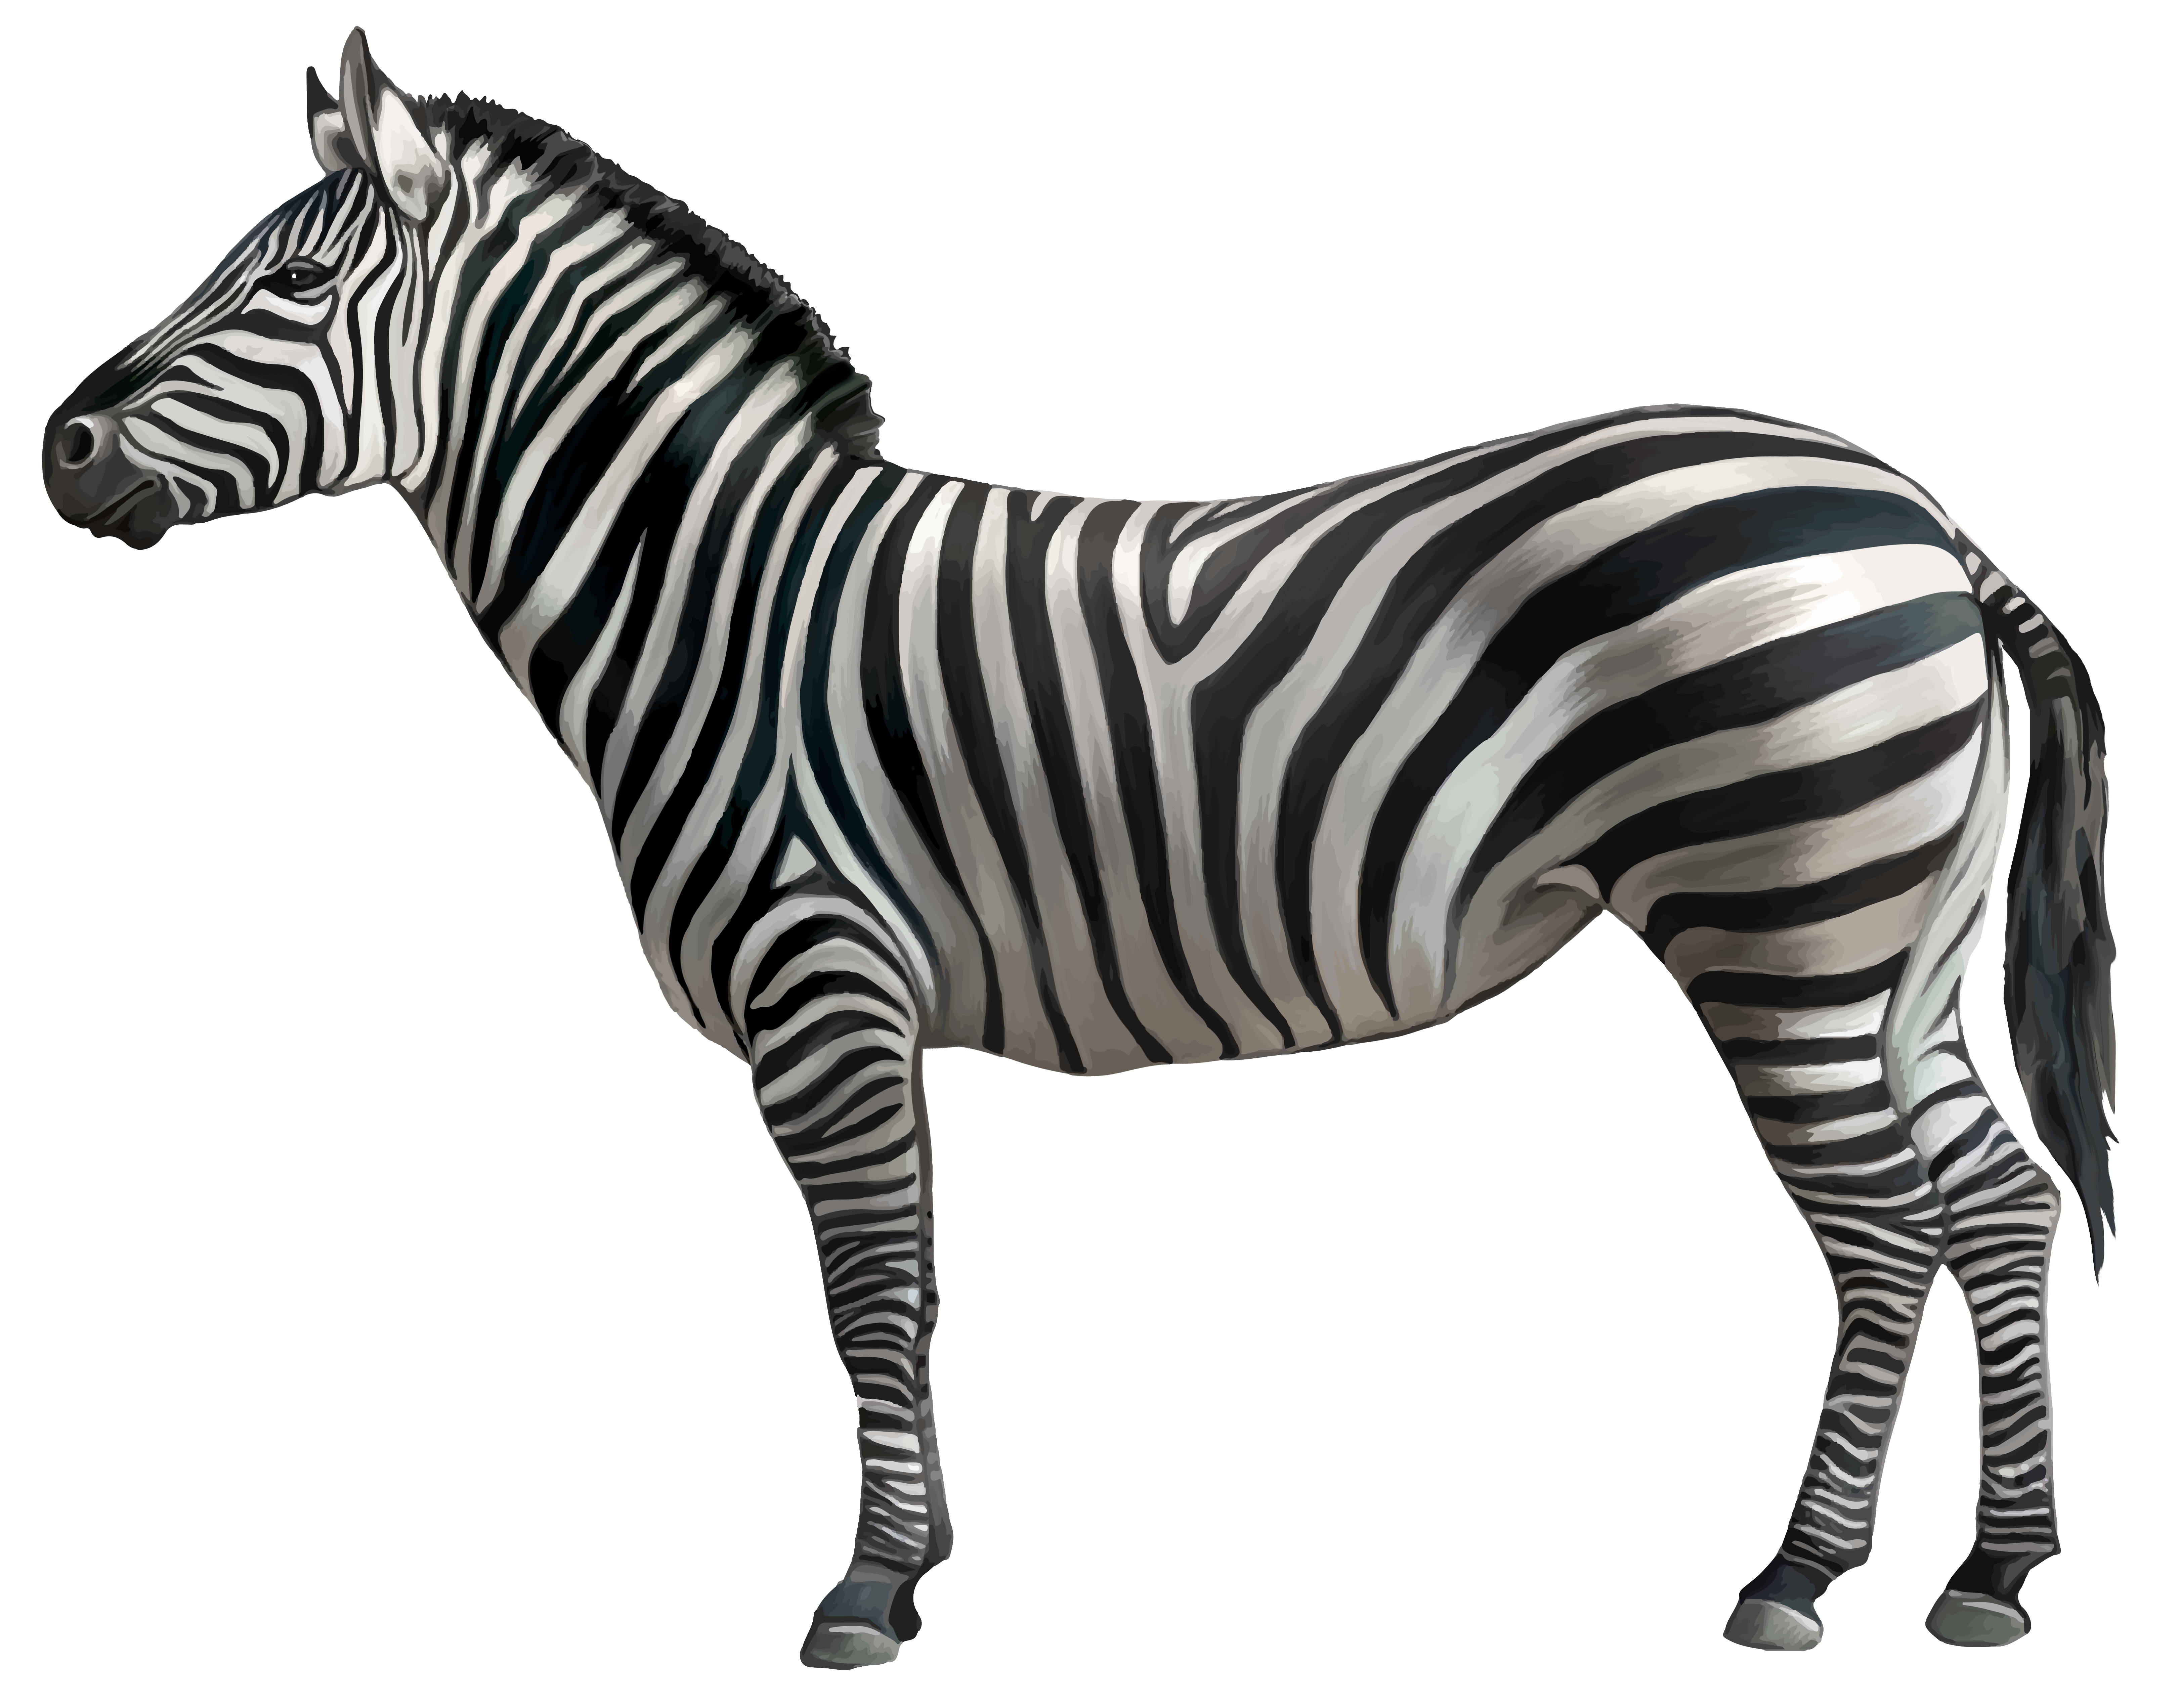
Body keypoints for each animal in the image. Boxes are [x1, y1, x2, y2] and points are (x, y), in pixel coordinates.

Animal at [40, 30, 2115, 1668]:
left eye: (281, 297)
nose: (57, 454)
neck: (709, 600)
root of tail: (1925, 521)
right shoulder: (853, 1005)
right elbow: (902, 1284)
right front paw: (923, 1553)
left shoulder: (824, 980)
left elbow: (871, 1285)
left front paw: (870, 1591)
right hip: (1887, 946)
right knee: (1997, 1200)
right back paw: (1992, 1574)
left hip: (1780, 924)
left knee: (1883, 1226)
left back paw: (1797, 1578)